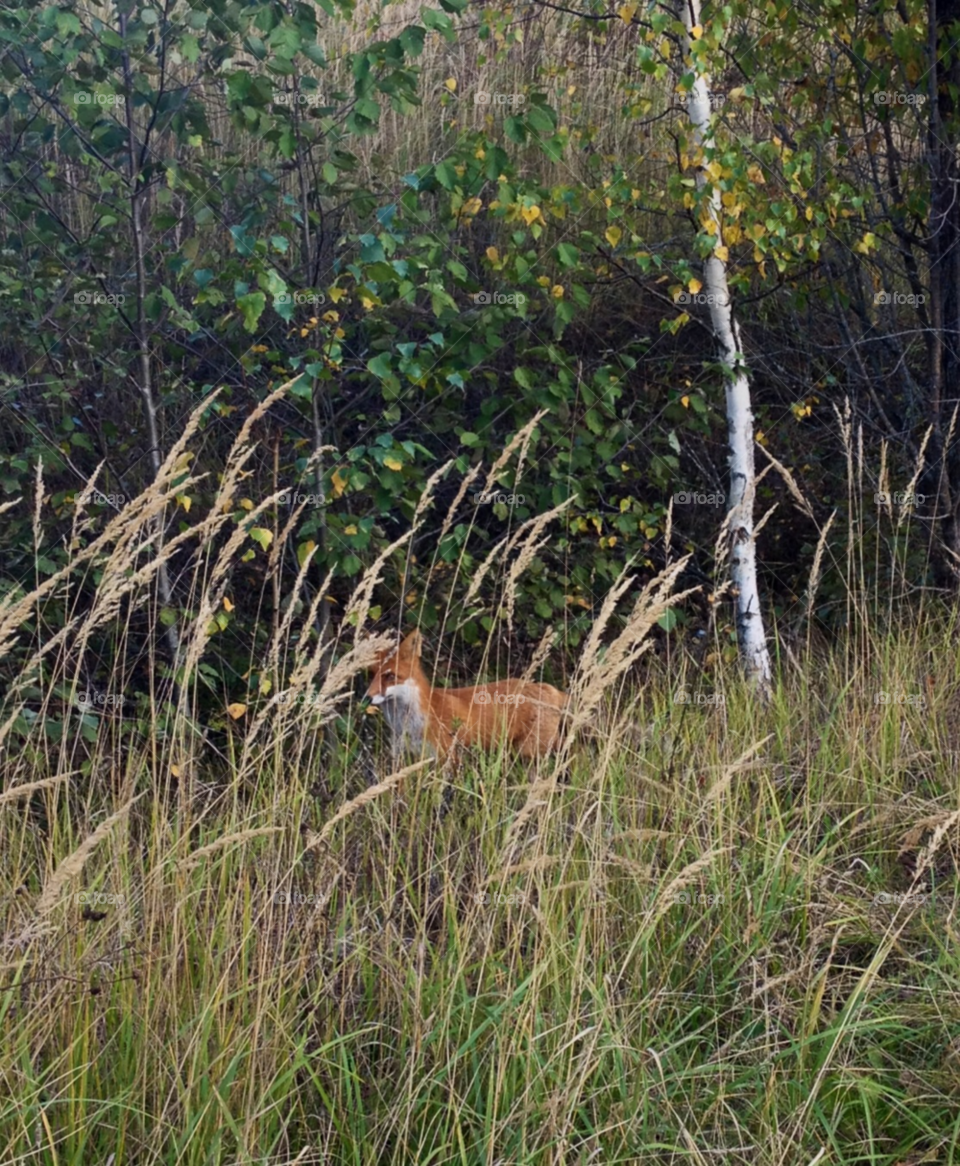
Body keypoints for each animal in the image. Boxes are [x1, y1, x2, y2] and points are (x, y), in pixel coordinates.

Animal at [363, 629, 566, 764]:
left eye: (390, 676)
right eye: (371, 674)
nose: (366, 698)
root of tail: (547, 687)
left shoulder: (447, 759)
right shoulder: (404, 758)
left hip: (529, 753)